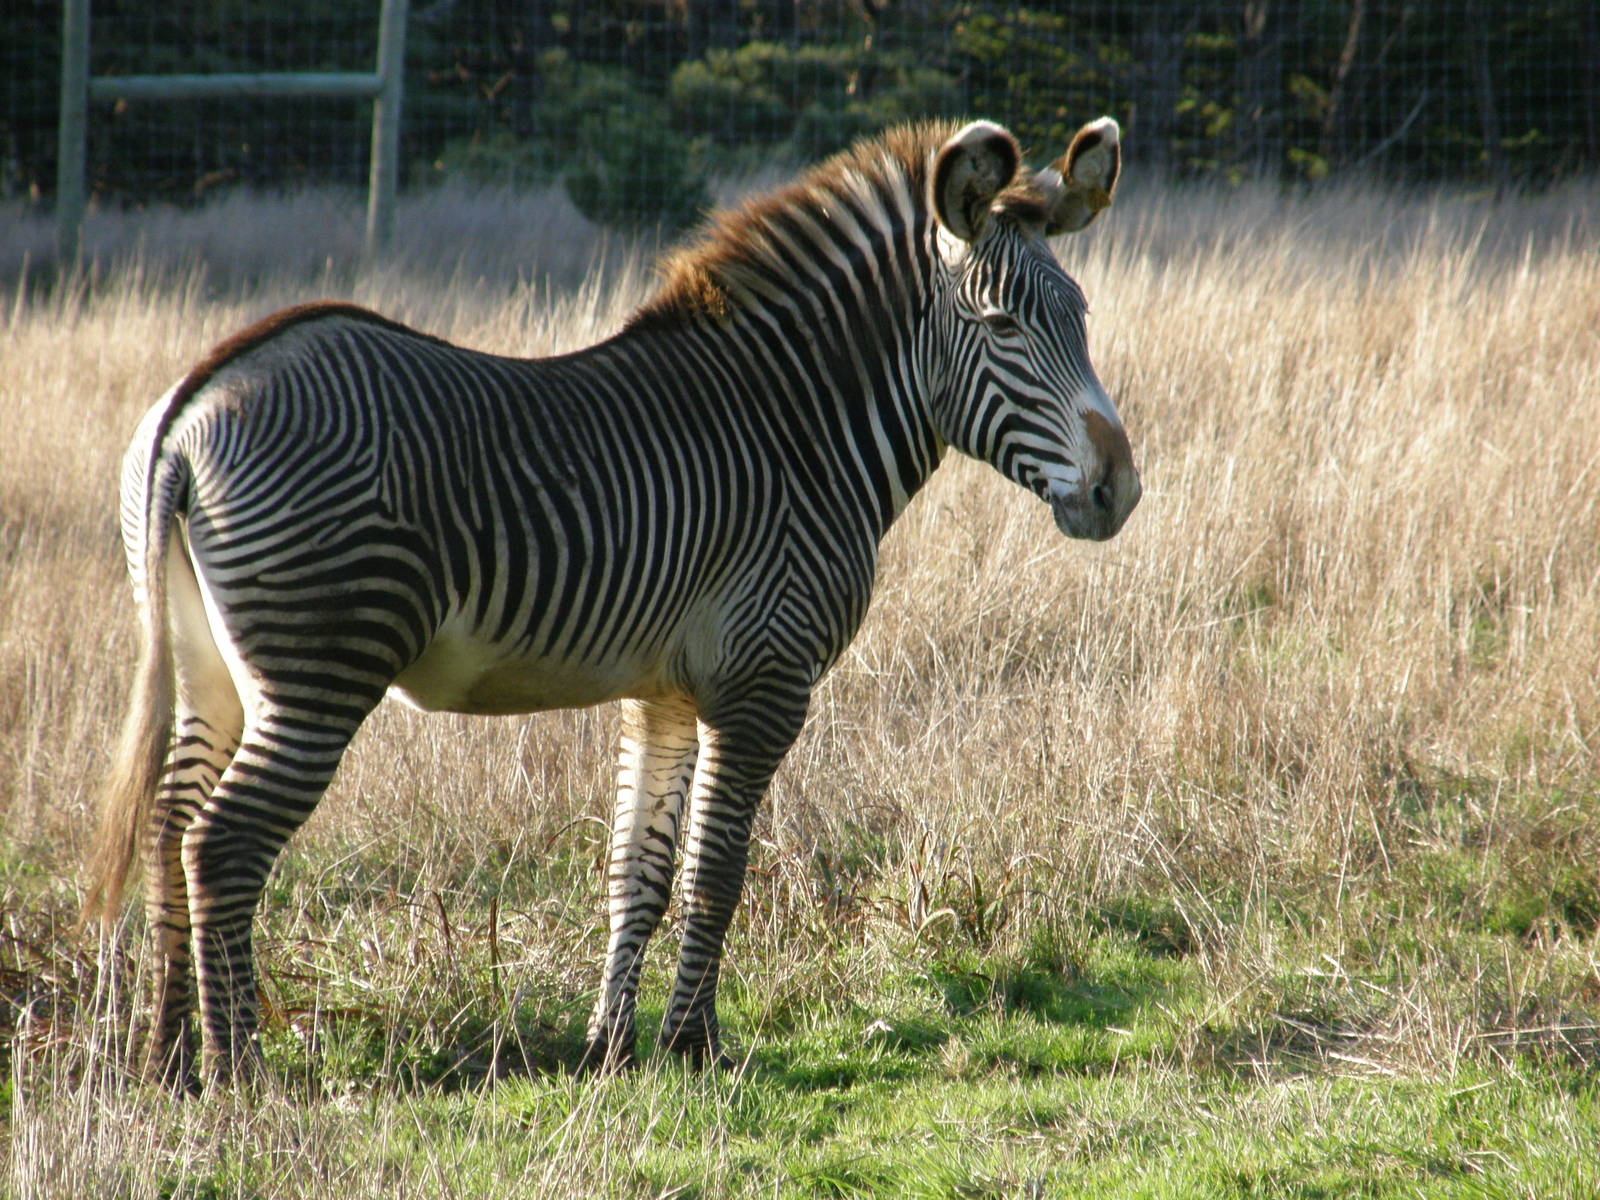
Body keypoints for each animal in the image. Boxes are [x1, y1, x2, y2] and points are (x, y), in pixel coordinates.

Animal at [85, 115, 1140, 1088]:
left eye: (1081, 316)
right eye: (1002, 326)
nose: (1118, 491)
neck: (797, 431)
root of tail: (196, 401)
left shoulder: (663, 691)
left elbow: (640, 871)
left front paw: (610, 1048)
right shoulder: (765, 681)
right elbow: (718, 869)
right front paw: (694, 1047)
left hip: (213, 668)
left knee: (169, 826)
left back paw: (170, 1062)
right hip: (318, 670)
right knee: (222, 844)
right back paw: (240, 1072)